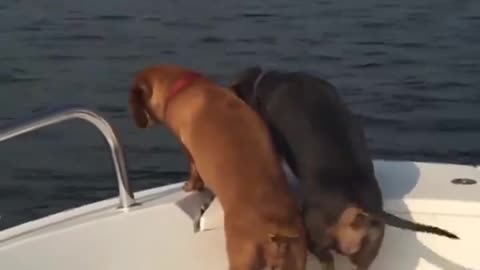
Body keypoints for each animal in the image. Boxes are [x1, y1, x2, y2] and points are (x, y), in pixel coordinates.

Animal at [127, 64, 308, 268]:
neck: (185, 87)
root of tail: (276, 232)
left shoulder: (187, 148)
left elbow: (194, 170)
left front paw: (191, 186)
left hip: (242, 259)